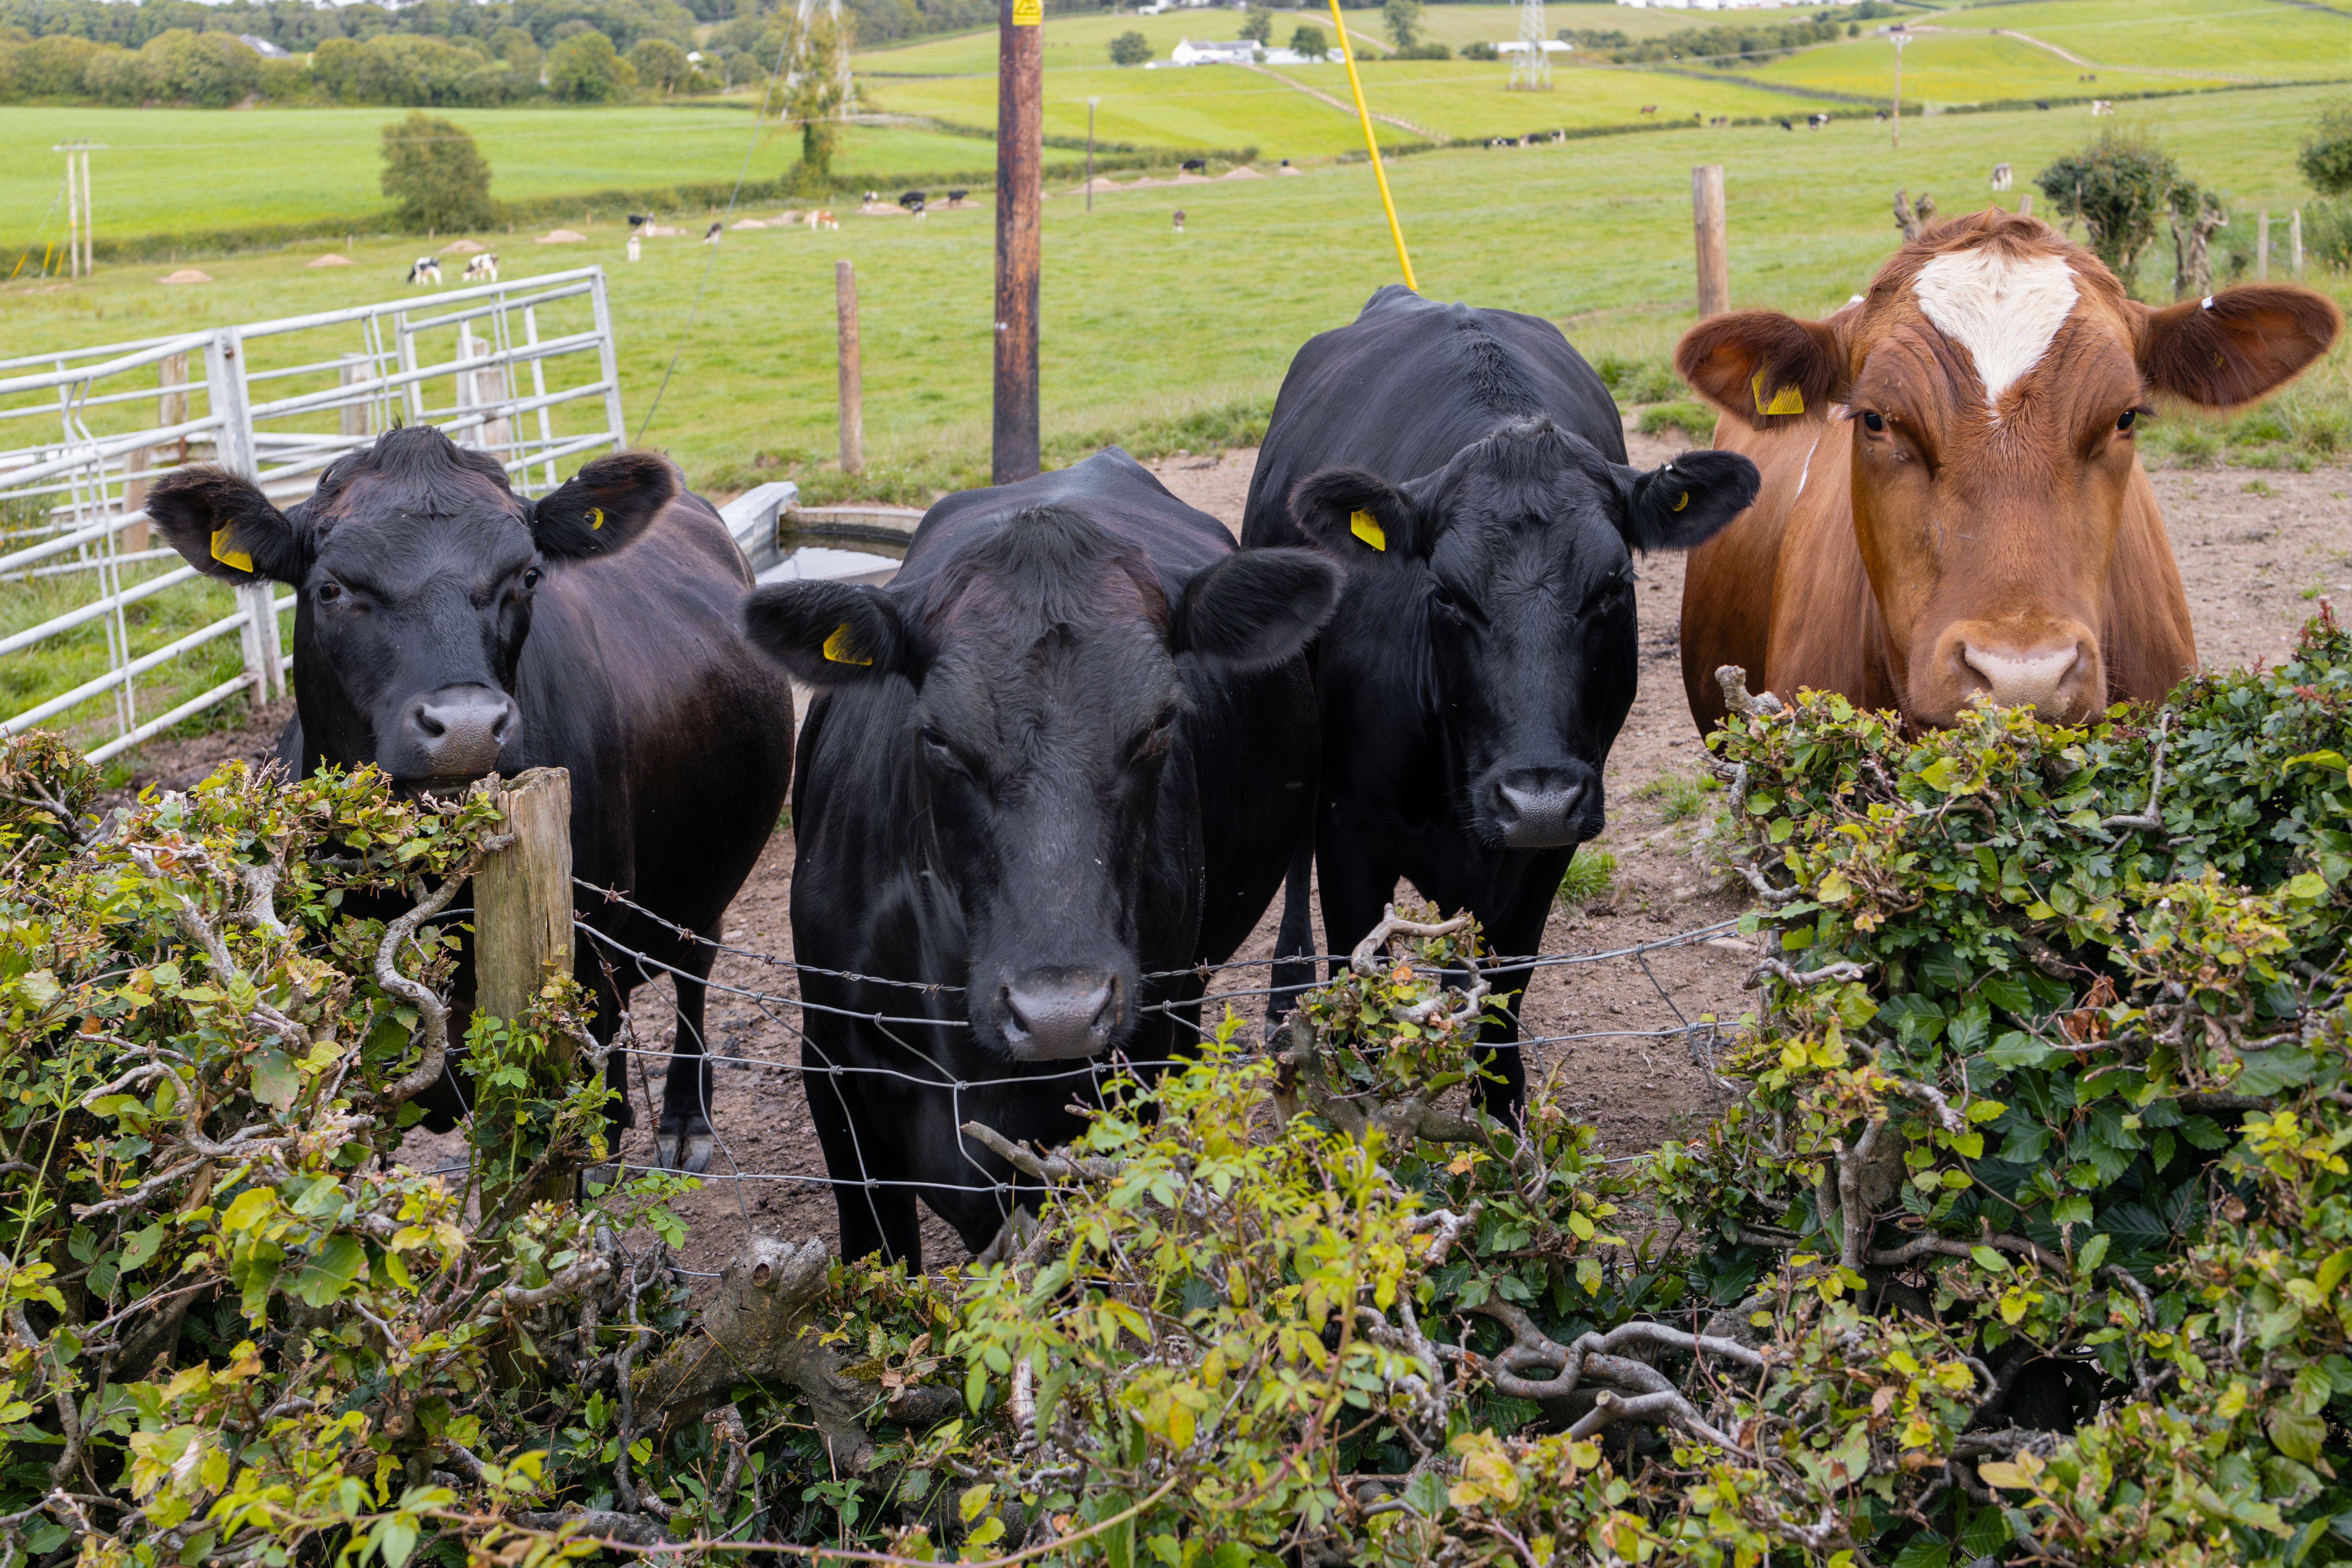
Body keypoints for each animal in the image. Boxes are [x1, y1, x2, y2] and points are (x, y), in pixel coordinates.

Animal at [142, 426, 795, 1173]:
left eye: (529, 576)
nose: (466, 728)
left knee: (693, 977)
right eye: (331, 588)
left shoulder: (575, 972)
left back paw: (686, 1117)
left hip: (702, 890)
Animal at [1241, 286, 1760, 1116]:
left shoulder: (1553, 843)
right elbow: (1360, 991)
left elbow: (1504, 997)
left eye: (1613, 586)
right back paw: (1285, 1002)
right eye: (1446, 594)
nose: (1536, 800)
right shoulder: (1349, 830)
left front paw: (1502, 1127)